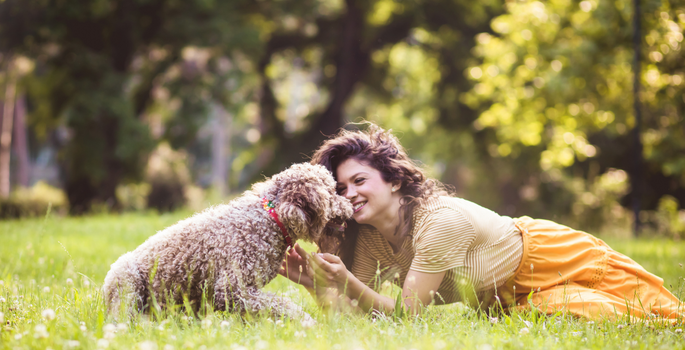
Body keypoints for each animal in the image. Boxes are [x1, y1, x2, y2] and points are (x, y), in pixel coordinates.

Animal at [104, 163, 356, 324]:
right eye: (333, 192)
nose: (351, 206)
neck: (270, 218)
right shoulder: (232, 289)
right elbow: (282, 304)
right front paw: (308, 322)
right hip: (128, 285)